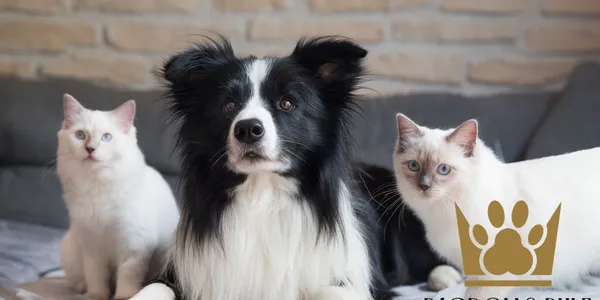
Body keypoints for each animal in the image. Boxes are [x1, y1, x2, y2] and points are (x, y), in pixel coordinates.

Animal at [57, 94, 179, 300]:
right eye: (80, 135)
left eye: (107, 137)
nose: (90, 149)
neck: (96, 184)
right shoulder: (92, 247)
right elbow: (96, 276)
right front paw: (96, 295)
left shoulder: (134, 247)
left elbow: (127, 276)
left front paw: (123, 296)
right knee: (78, 280)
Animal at [130, 35, 422, 300]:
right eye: (229, 105)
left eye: (287, 103)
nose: (248, 129)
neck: (263, 194)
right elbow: (155, 288)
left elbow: (328, 290)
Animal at [392, 113, 600, 298]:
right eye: (413, 166)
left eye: (443, 169)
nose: (424, 186)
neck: (444, 213)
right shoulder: (473, 271)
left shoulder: (493, 276)